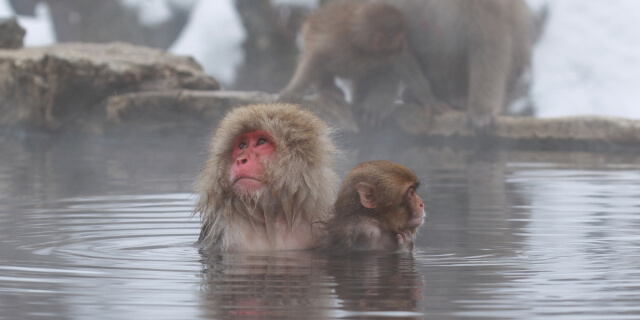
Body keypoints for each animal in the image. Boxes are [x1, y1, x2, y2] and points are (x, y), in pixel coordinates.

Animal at [278, 0, 408, 124]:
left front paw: (376, 107)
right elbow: (315, 57)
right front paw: (293, 90)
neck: (361, 50)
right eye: (400, 43)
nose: (403, 48)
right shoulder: (338, 44)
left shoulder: (378, 62)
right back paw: (328, 87)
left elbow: (385, 75)